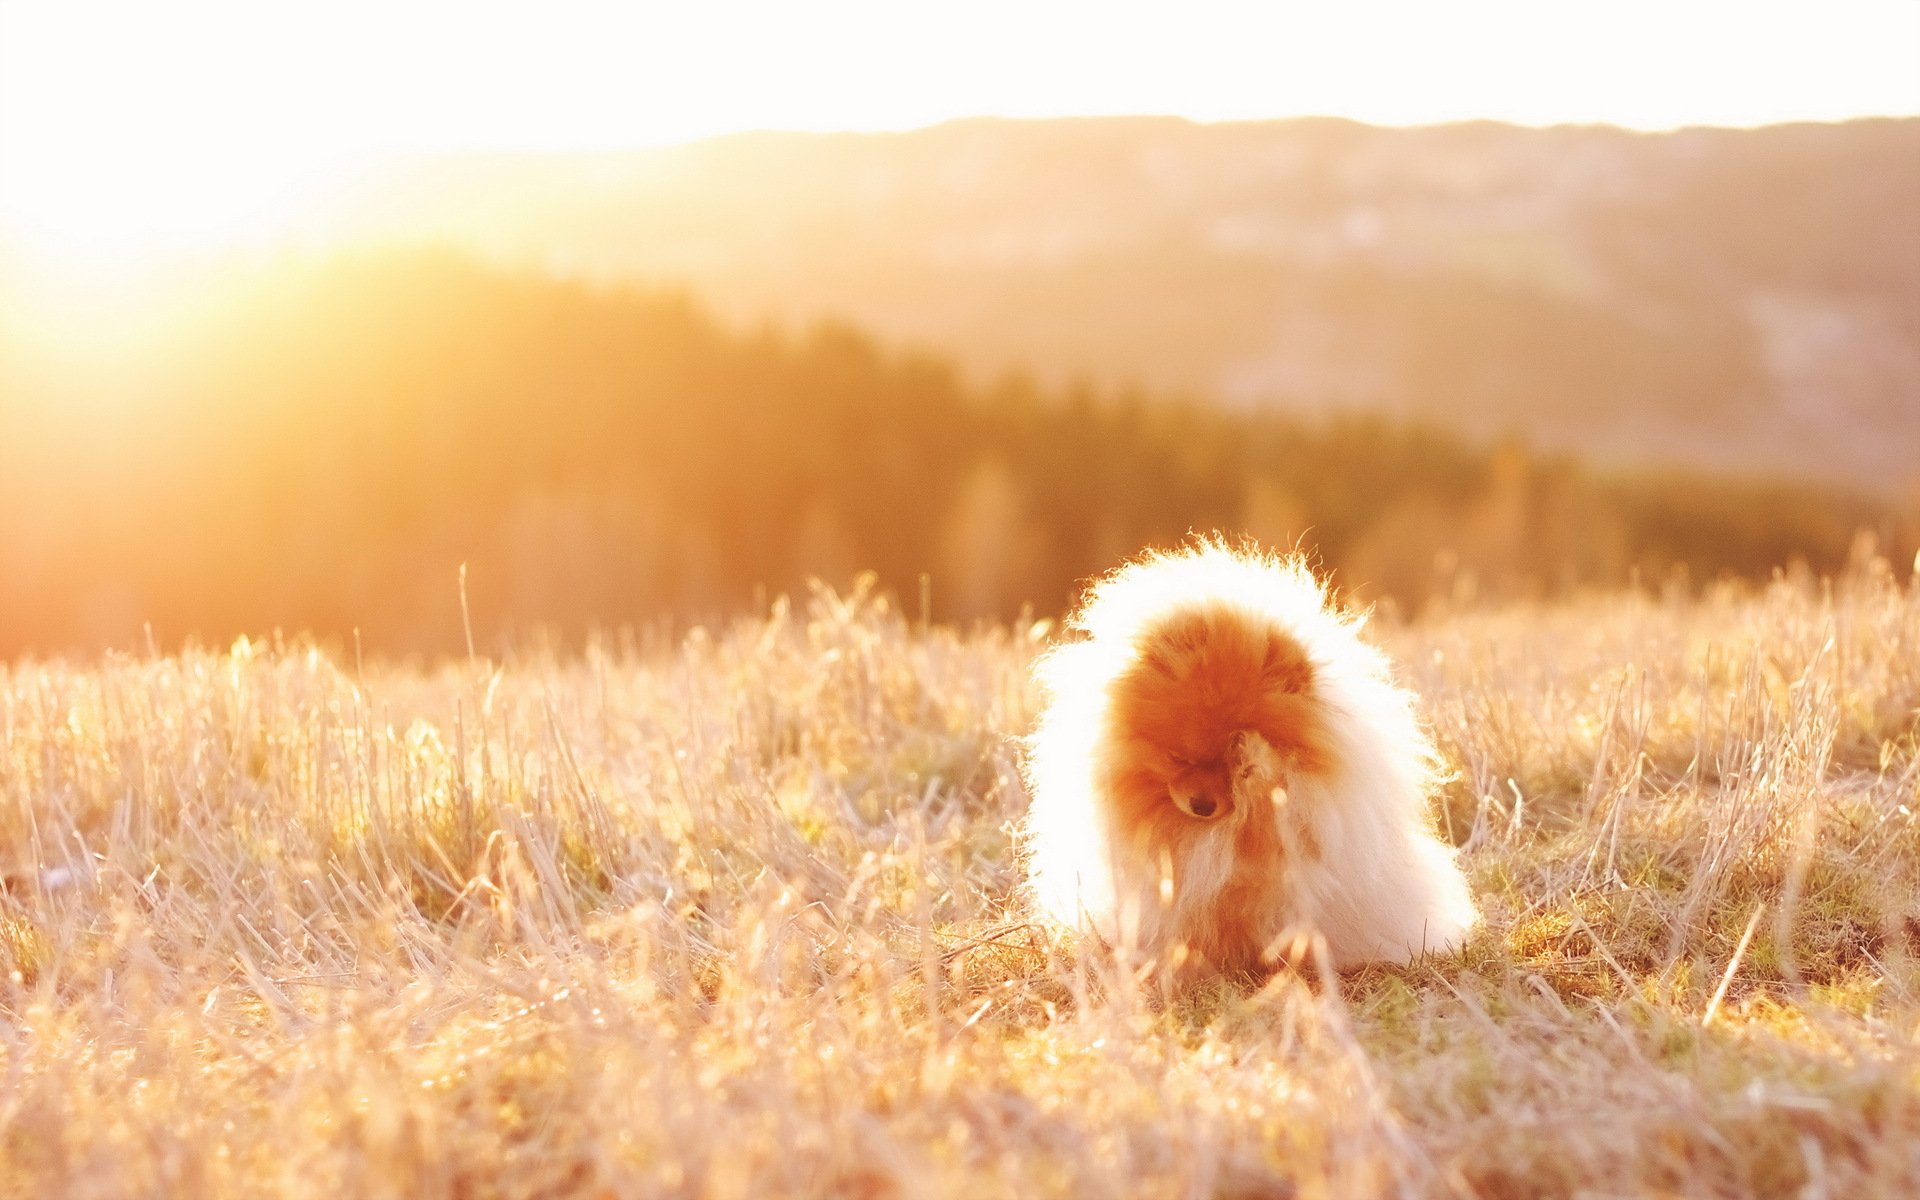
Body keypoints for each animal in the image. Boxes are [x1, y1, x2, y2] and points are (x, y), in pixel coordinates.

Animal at [1029, 537, 1474, 979]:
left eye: (1224, 761)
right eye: (1177, 757)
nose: (1201, 805)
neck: (1216, 831)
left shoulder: (1304, 812)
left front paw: (1253, 758)